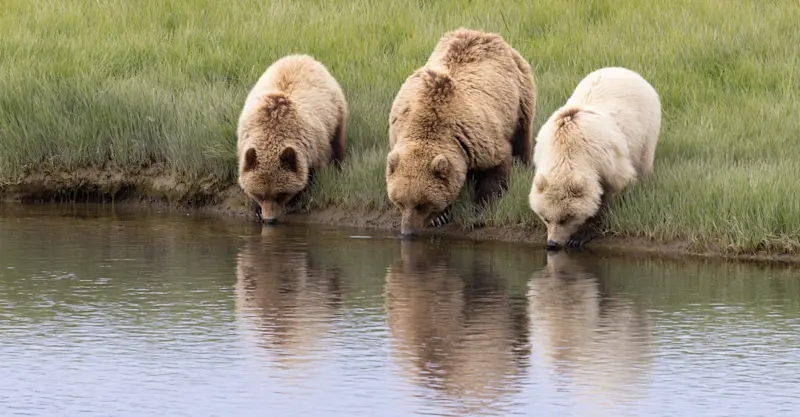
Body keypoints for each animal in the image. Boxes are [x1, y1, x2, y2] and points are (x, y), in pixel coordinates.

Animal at [237, 54, 348, 224]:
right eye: (261, 195)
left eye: (279, 195)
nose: (269, 219)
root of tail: (302, 56)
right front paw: (255, 209)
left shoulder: (315, 144)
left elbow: (319, 168)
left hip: (336, 112)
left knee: (338, 143)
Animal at [385, 28, 537, 236]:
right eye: (400, 202)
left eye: (422, 204)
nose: (407, 231)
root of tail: (483, 33)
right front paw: (442, 215)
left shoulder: (478, 137)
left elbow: (495, 169)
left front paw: (480, 208)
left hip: (520, 95)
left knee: (522, 136)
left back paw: (524, 164)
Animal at [528, 66, 661, 249]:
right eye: (546, 217)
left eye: (566, 218)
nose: (552, 243)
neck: (566, 150)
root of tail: (624, 70)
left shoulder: (606, 160)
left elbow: (616, 186)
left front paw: (583, 234)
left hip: (646, 128)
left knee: (645, 159)